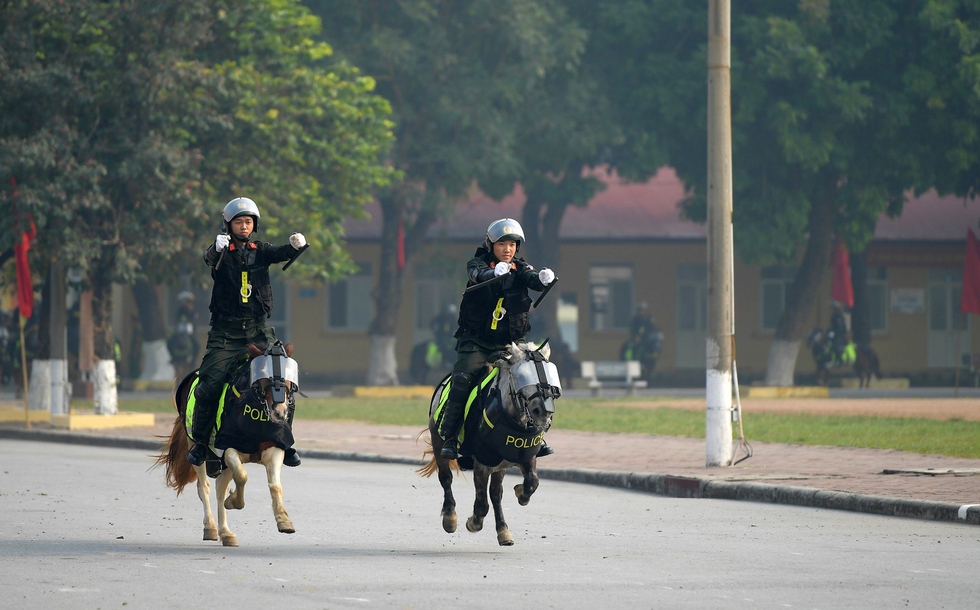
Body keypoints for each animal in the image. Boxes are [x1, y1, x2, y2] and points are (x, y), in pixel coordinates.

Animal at [152, 340, 298, 544]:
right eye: (261, 372)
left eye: (289, 373)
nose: (280, 412)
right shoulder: (227, 449)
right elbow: (242, 476)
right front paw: (234, 501)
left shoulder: (274, 449)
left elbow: (275, 485)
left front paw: (284, 520)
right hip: (197, 449)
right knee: (205, 488)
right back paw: (211, 528)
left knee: (220, 488)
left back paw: (226, 532)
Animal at [420, 340, 560, 544]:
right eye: (522, 375)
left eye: (551, 375)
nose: (542, 411)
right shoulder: (482, 463)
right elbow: (481, 504)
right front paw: (473, 522)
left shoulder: (525, 455)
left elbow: (532, 482)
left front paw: (520, 492)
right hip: (439, 444)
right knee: (446, 478)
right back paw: (450, 518)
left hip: (499, 466)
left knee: (495, 493)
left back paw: (503, 530)